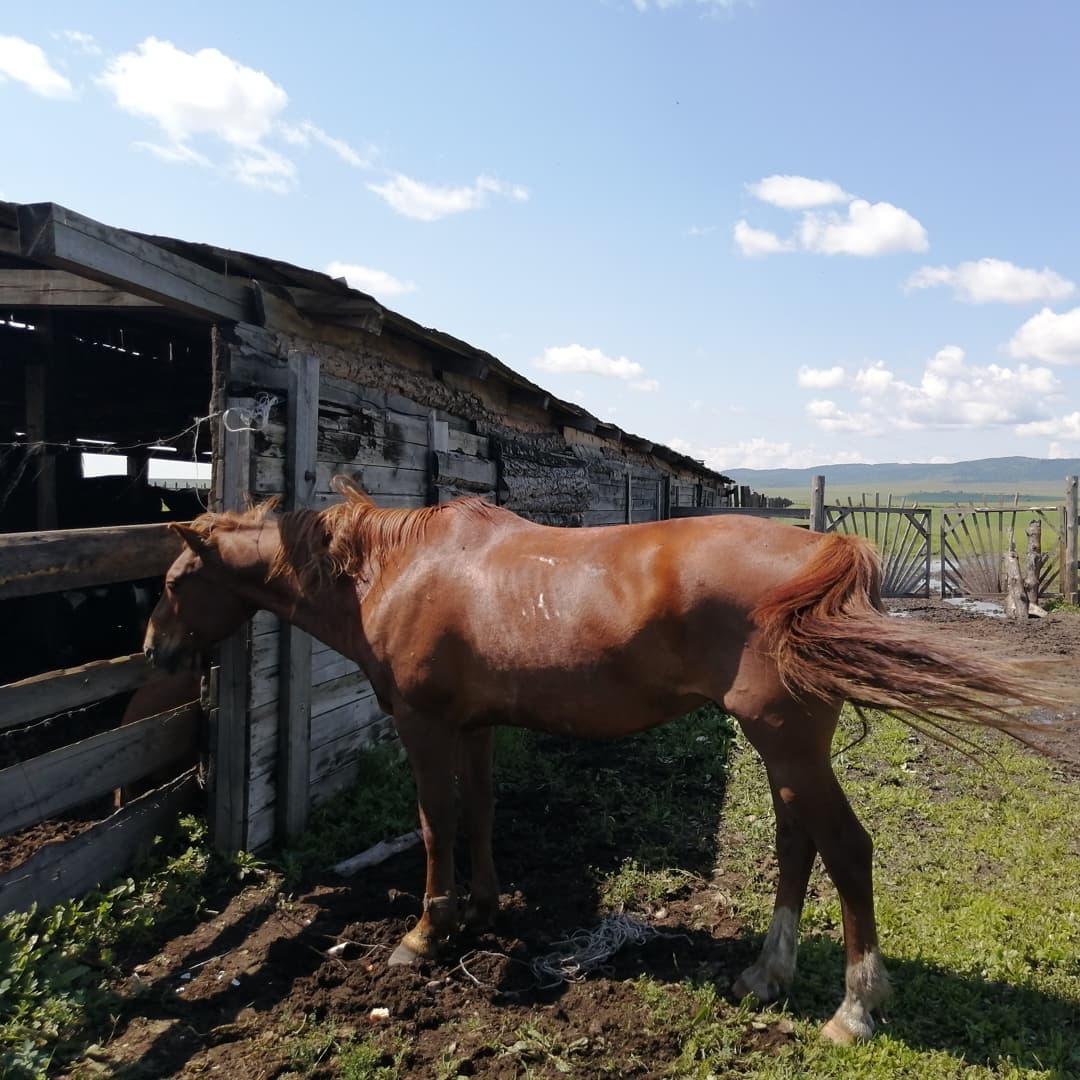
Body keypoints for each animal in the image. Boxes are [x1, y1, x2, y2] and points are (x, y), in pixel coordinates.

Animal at [143, 476, 1074, 1044]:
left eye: (177, 580)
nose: (155, 652)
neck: (396, 568)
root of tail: (823, 553)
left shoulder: (423, 724)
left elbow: (436, 822)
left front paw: (424, 933)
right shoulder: (475, 725)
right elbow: (479, 812)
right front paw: (484, 909)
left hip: (787, 741)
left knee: (844, 849)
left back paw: (853, 1009)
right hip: (782, 745)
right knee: (796, 845)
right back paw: (765, 974)